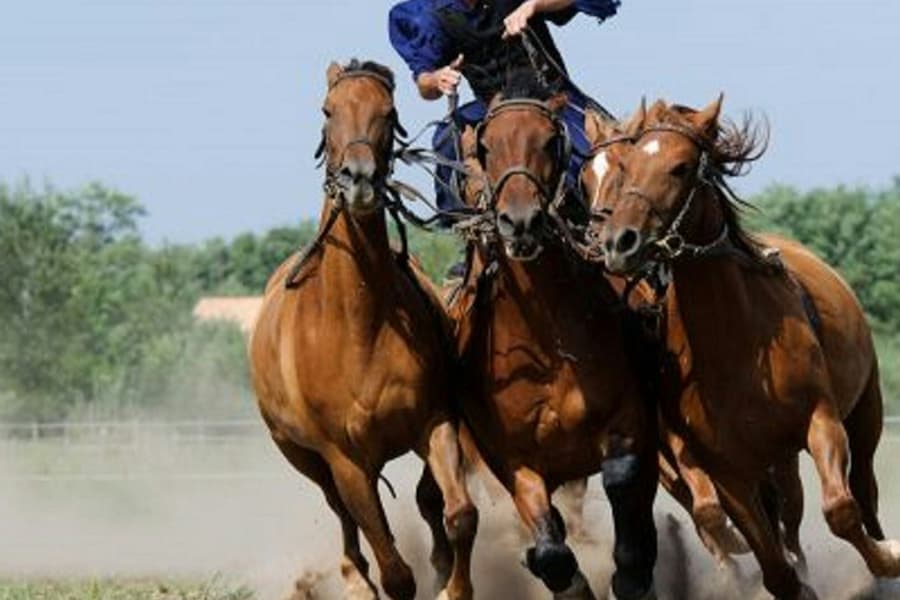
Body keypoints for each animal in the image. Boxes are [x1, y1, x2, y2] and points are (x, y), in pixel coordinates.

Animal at [249, 60, 478, 600]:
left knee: (427, 502)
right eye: (328, 111)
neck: (359, 324)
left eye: (388, 113)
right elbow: (393, 568)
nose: (359, 181)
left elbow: (458, 514)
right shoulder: (347, 460)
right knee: (342, 514)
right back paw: (353, 577)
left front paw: (452, 583)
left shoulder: (435, 422)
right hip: (302, 456)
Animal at [449, 75, 659, 600]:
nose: (520, 222)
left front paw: (630, 574)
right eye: (486, 146)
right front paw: (551, 566)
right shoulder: (512, 462)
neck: (546, 343)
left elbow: (623, 479)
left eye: (549, 141)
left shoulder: (629, 421)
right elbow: (552, 552)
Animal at [590, 96, 900, 599]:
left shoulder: (821, 419)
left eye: (680, 167)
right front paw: (789, 579)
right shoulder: (725, 469)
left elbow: (840, 508)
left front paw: (889, 557)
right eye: (630, 165)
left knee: (863, 492)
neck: (734, 344)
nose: (619, 242)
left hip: (865, 408)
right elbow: (769, 564)